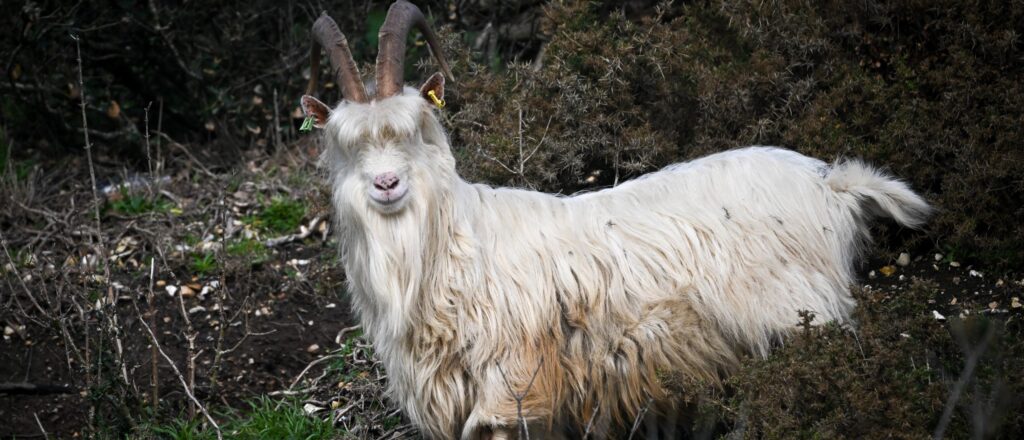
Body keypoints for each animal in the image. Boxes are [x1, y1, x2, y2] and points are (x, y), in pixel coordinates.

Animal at [299, 2, 931, 438]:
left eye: (413, 130)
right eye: (346, 145)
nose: (387, 184)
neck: (456, 247)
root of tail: (831, 183)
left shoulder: (511, 390)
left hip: (799, 319)